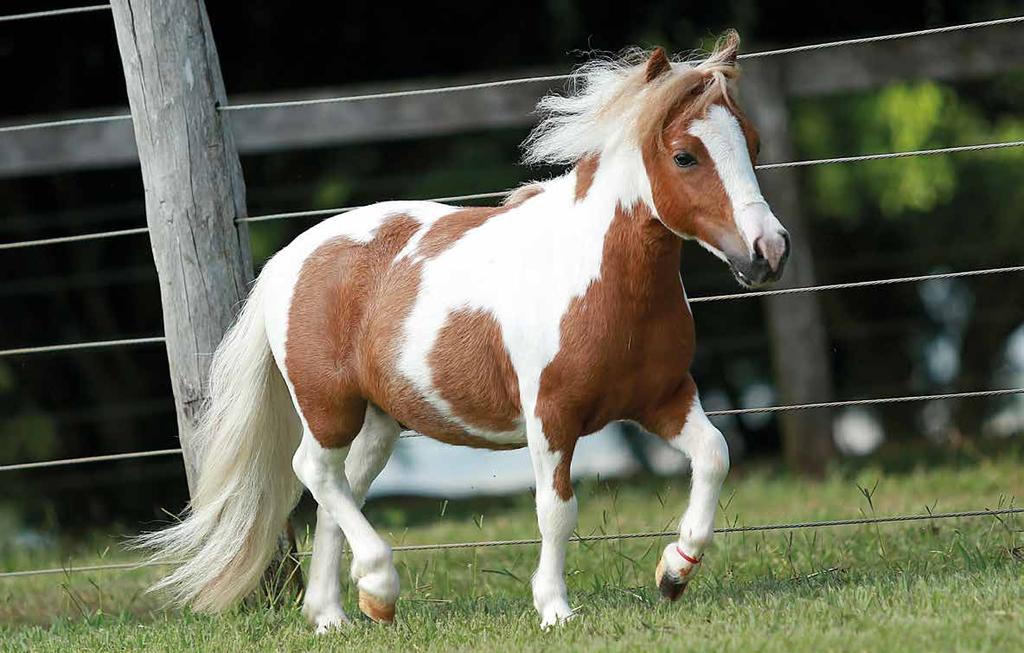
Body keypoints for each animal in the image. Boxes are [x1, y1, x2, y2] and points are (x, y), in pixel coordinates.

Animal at [140, 31, 786, 634]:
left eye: (754, 143)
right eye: (684, 156)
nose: (768, 251)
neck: (597, 279)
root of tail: (287, 260)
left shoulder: (664, 399)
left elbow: (715, 456)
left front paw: (673, 572)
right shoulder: (551, 415)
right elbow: (557, 510)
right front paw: (555, 609)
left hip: (380, 422)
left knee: (337, 492)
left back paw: (336, 614)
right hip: (329, 408)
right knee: (314, 472)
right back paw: (378, 585)